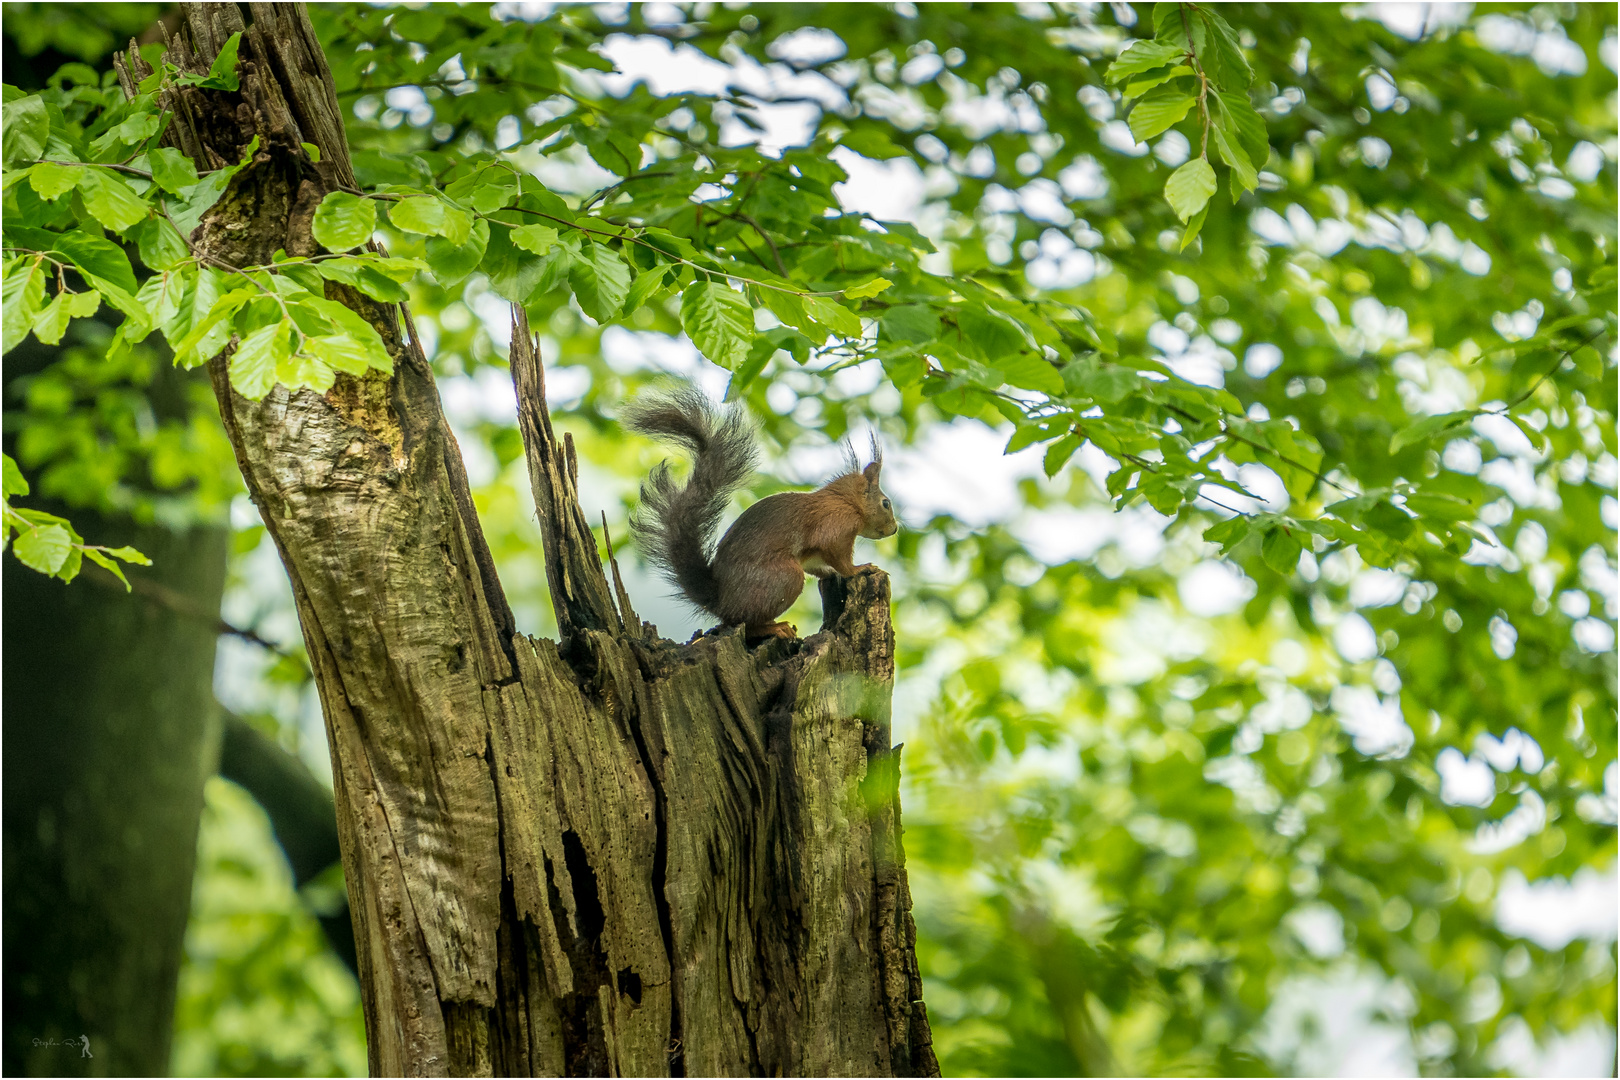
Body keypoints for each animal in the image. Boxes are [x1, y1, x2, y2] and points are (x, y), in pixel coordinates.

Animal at [622, 383, 900, 641]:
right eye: (886, 503)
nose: (895, 528)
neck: (845, 501)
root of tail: (720, 601)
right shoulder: (836, 524)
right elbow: (839, 556)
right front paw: (859, 568)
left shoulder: (816, 551)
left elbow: (819, 564)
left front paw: (832, 574)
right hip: (785, 578)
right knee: (745, 623)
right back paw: (776, 628)